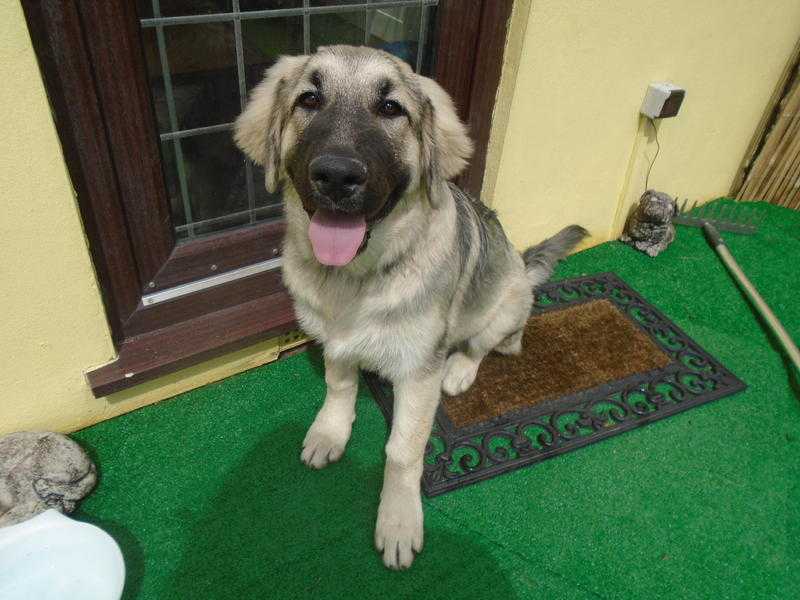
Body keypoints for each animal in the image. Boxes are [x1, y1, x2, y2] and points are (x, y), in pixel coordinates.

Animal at [234, 45, 584, 568]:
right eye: (309, 99)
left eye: (390, 108)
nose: (336, 175)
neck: (357, 278)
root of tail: (524, 267)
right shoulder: (335, 342)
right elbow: (339, 388)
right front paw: (330, 432)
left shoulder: (418, 373)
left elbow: (402, 451)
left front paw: (398, 520)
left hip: (504, 308)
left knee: (485, 346)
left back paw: (460, 371)